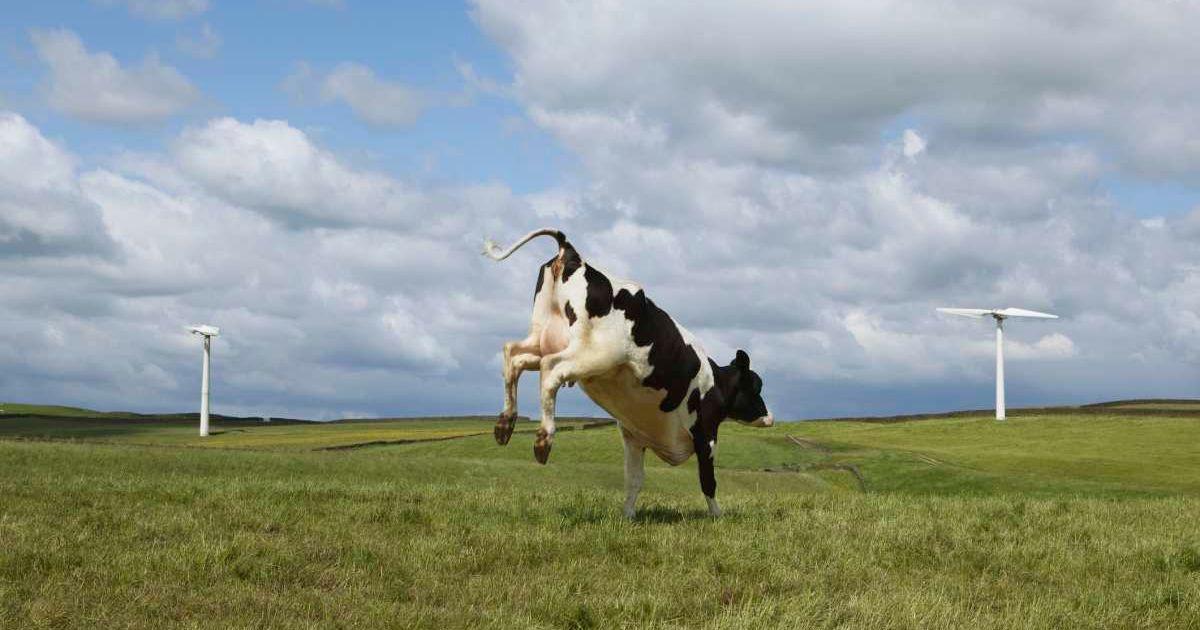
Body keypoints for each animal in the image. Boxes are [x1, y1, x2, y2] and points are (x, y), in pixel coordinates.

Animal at [483, 228, 773, 518]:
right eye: (756, 387)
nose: (770, 416)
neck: (714, 384)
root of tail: (574, 255)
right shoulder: (706, 436)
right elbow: (708, 481)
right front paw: (717, 516)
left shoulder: (635, 438)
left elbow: (634, 479)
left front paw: (628, 516)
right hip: (592, 353)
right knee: (551, 369)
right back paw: (543, 440)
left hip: (542, 338)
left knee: (513, 355)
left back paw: (504, 425)